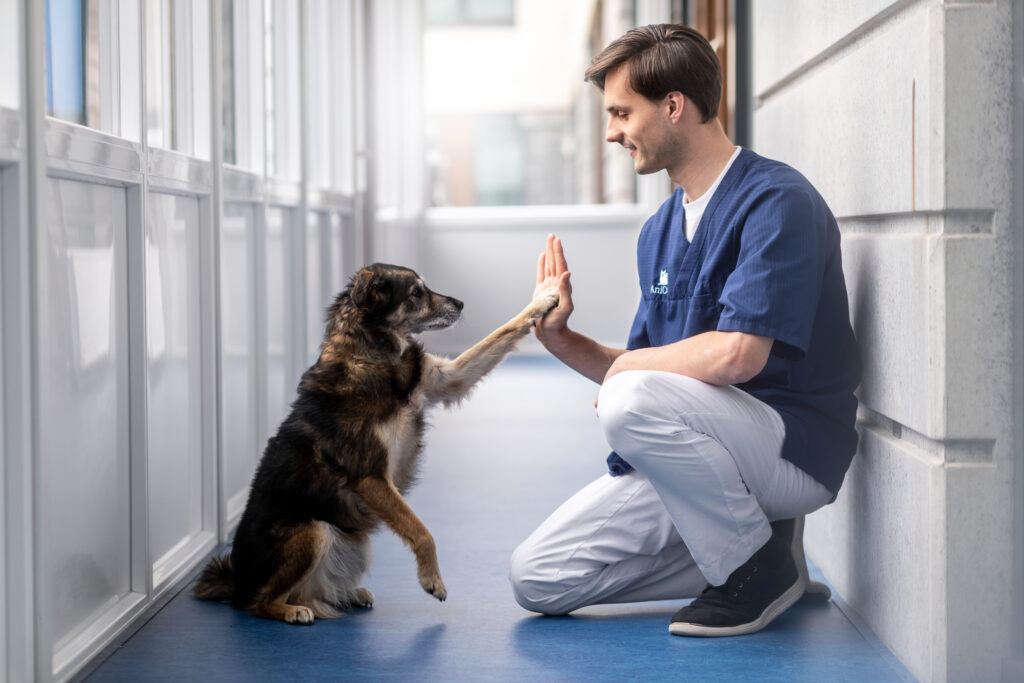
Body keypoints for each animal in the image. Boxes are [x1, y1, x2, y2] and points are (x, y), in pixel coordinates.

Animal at [194, 262, 557, 626]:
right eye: (416, 293)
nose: (461, 303)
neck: (376, 355)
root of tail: (235, 581)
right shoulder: (371, 477)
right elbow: (421, 530)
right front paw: (432, 579)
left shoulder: (446, 379)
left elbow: (505, 328)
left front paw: (544, 300)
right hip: (314, 531)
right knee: (259, 602)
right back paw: (291, 610)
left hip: (354, 543)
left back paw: (345, 594)